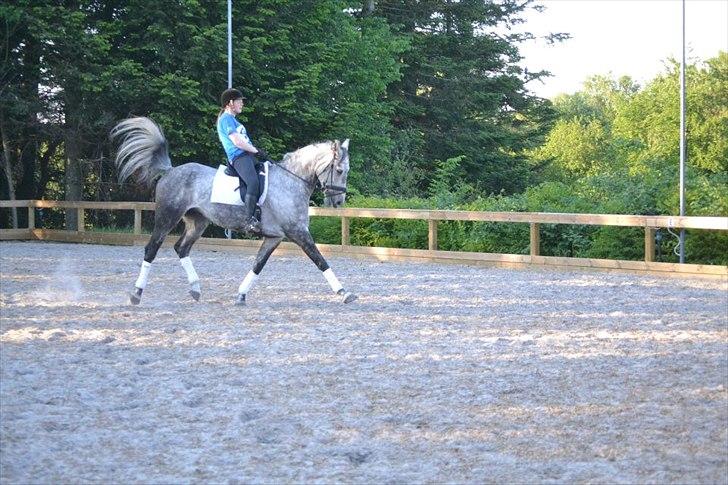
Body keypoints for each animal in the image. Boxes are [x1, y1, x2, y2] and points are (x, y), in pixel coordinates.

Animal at [109, 116, 356, 304]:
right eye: (340, 170)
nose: (338, 202)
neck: (290, 182)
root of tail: (170, 171)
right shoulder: (298, 232)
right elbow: (320, 259)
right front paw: (344, 293)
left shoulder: (274, 237)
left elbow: (258, 265)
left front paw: (241, 295)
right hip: (167, 216)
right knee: (151, 249)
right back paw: (136, 294)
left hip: (198, 221)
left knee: (181, 248)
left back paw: (195, 289)